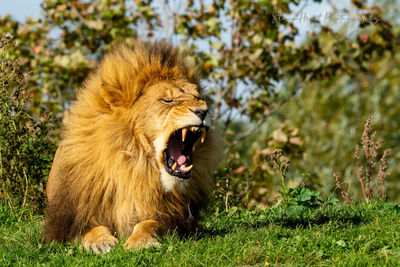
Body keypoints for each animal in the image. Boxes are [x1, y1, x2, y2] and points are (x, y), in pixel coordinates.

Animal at [44, 39, 219, 253]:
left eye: (198, 98)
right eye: (167, 100)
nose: (204, 111)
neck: (134, 169)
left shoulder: (178, 218)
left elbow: (150, 222)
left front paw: (142, 241)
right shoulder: (68, 219)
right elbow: (89, 227)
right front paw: (99, 242)